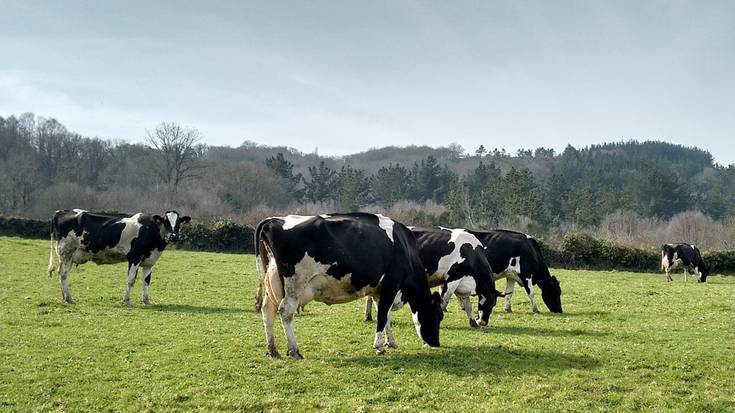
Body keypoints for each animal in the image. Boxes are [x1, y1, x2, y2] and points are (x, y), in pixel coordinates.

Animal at [47, 209, 191, 302]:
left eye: (179, 223)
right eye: (165, 222)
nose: (173, 237)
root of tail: (59, 212)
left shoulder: (149, 261)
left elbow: (146, 281)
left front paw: (146, 300)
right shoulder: (134, 257)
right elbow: (131, 280)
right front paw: (126, 300)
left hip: (69, 256)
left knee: (62, 273)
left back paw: (65, 297)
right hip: (66, 251)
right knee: (63, 274)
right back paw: (69, 298)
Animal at [256, 212, 446, 358]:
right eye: (437, 316)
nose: (436, 343)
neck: (405, 247)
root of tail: (274, 220)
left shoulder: (380, 291)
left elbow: (386, 316)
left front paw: (390, 342)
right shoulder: (391, 285)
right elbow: (383, 315)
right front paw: (379, 347)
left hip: (273, 283)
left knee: (268, 311)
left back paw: (272, 350)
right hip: (294, 285)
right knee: (286, 312)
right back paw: (294, 351)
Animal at [364, 227, 504, 326]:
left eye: (494, 304)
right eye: (489, 302)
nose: (483, 322)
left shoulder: (462, 283)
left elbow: (468, 305)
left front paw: (473, 322)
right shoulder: (452, 280)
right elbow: (444, 300)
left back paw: (368, 316)